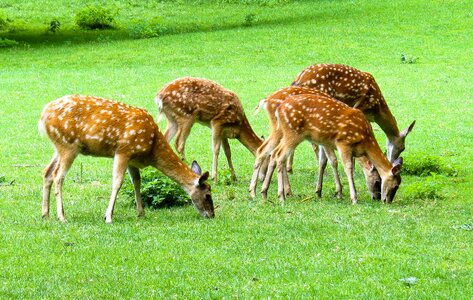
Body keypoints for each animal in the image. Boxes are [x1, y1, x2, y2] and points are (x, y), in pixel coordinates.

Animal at [39, 94, 215, 223]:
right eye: (208, 195)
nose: (212, 215)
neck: (152, 149)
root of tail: (42, 117)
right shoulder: (123, 151)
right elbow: (117, 182)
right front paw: (108, 217)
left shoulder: (132, 159)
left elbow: (137, 182)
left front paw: (141, 213)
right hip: (68, 145)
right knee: (58, 176)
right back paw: (62, 216)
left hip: (59, 146)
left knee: (47, 172)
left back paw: (45, 214)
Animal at [251, 85, 380, 200]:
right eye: (377, 181)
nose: (377, 197)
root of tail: (266, 101)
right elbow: (333, 160)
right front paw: (338, 192)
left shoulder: (324, 140)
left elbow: (323, 161)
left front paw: (319, 191)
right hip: (283, 130)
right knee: (276, 153)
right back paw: (280, 192)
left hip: (279, 131)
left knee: (265, 150)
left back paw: (257, 191)